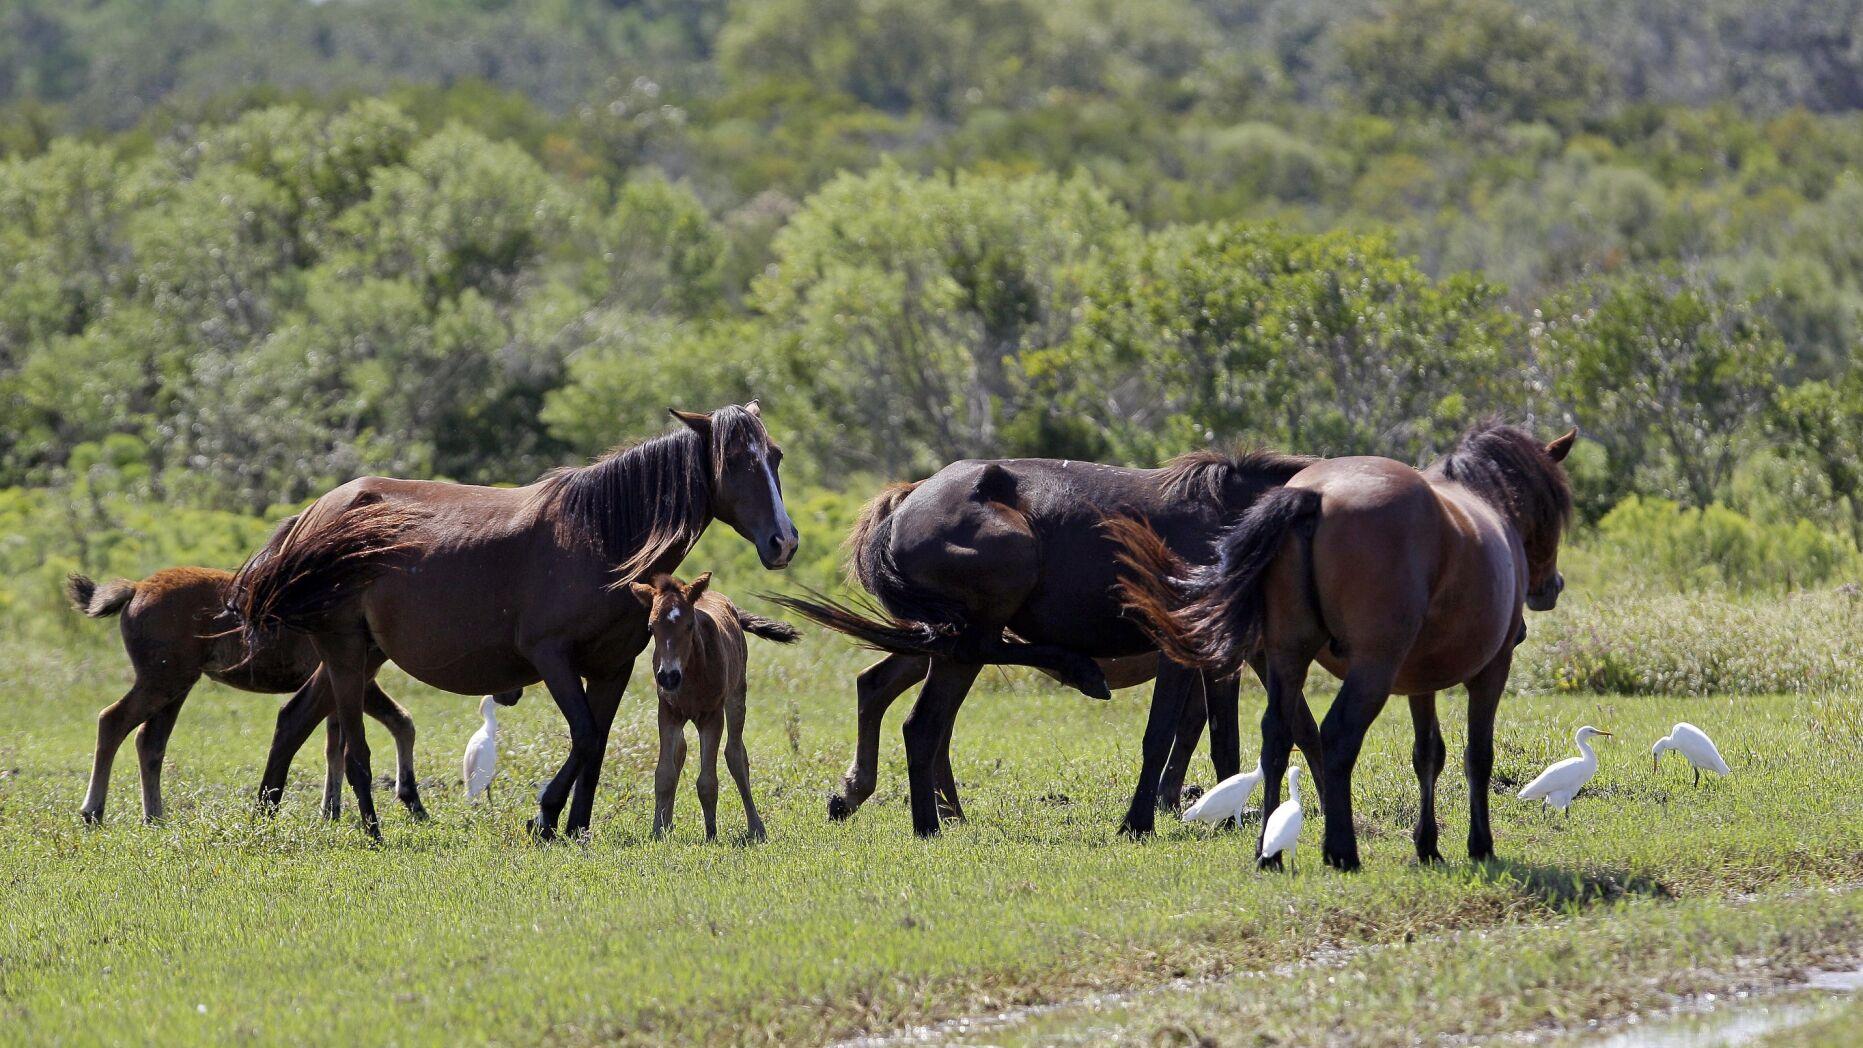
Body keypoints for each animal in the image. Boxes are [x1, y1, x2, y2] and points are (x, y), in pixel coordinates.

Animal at [64, 568, 518, 823]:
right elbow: (400, 723)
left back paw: (154, 816)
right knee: (113, 721)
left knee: (149, 742)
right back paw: (93, 811)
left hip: (177, 684)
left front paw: (332, 810)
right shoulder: (353, 679)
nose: (511, 694)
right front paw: (405, 800)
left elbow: (338, 744)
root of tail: (135, 589)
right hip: (164, 680)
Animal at [632, 571, 797, 841]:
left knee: (736, 754)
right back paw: (668, 823)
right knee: (681, 750)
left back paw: (756, 827)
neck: (691, 674)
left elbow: (707, 780)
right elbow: (664, 774)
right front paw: (658, 830)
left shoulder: (712, 716)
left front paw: (711, 833)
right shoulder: (667, 712)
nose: (668, 677)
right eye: (650, 627)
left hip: (737, 695)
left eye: (689, 625)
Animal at [769, 449, 1314, 837]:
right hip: (981, 615)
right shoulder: (1180, 652)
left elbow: (1236, 738)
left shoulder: (1231, 657)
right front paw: (1139, 823)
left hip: (941, 643)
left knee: (901, 704)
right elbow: (1163, 735)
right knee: (929, 712)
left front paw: (1231, 818)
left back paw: (903, 807)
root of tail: (910, 499)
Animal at [1111, 421, 1577, 870]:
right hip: (1373, 670)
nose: (1552, 587)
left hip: (1288, 657)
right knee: (1337, 736)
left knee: (1277, 737)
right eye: (1551, 507)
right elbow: (1477, 755)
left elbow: (1428, 754)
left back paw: (1269, 853)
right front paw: (1479, 845)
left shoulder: (1420, 681)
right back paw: (1341, 849)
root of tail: (1313, 496)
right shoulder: (1492, 670)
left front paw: (1427, 845)